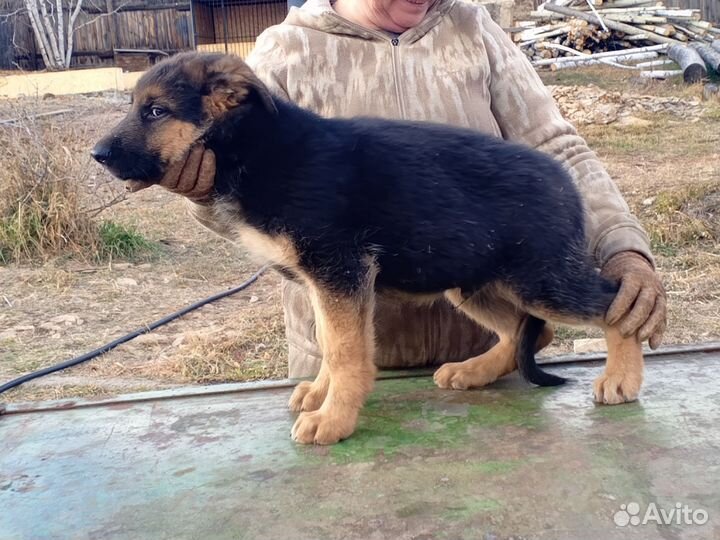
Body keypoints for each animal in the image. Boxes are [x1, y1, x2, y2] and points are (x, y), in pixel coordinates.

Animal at [93, 52, 644, 446]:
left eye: (156, 111)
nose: (96, 155)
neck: (258, 148)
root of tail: (564, 179)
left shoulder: (338, 269)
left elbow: (345, 350)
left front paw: (333, 418)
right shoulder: (323, 280)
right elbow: (331, 343)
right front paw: (321, 395)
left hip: (540, 277)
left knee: (613, 305)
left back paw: (622, 378)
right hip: (472, 280)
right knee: (529, 330)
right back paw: (473, 371)